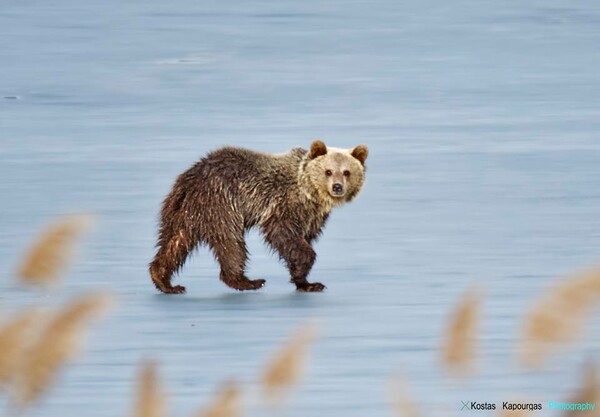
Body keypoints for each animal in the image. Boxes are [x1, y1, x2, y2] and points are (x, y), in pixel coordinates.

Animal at [148, 140, 368, 292]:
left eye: (346, 172)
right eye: (328, 171)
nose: (337, 187)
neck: (309, 192)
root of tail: (192, 177)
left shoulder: (312, 216)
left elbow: (301, 239)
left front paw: (305, 281)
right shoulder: (285, 203)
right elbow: (282, 233)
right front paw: (308, 274)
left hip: (182, 209)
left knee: (176, 239)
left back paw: (164, 280)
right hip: (221, 203)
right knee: (231, 243)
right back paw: (247, 281)